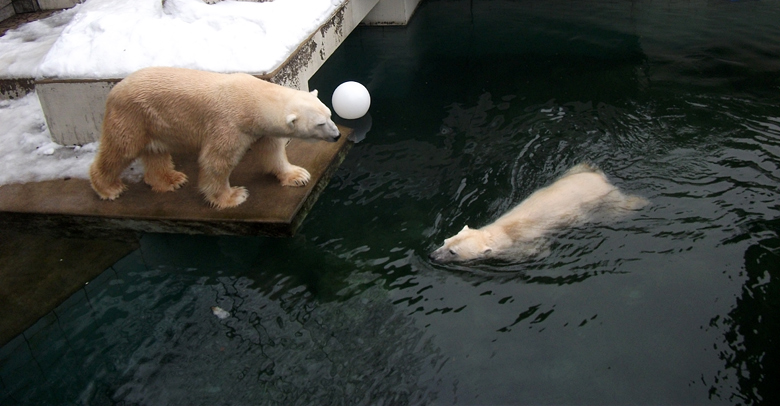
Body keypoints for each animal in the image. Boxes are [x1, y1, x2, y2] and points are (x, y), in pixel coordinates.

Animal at [88, 66, 338, 209]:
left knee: (155, 151)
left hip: (152, 121)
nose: (336, 135)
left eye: (329, 114)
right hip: (132, 116)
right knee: (121, 149)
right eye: (320, 123)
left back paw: (171, 179)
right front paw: (233, 196)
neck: (251, 100)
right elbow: (216, 161)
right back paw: (108, 188)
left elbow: (272, 151)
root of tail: (114, 90)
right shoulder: (228, 125)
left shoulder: (259, 129)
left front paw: (297, 175)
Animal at [430, 163, 648, 264]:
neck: (499, 232)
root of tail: (602, 181)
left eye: (453, 252)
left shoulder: (521, 246)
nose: (432, 256)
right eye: (446, 241)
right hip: (574, 174)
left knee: (621, 208)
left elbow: (538, 251)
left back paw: (641, 202)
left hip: (604, 203)